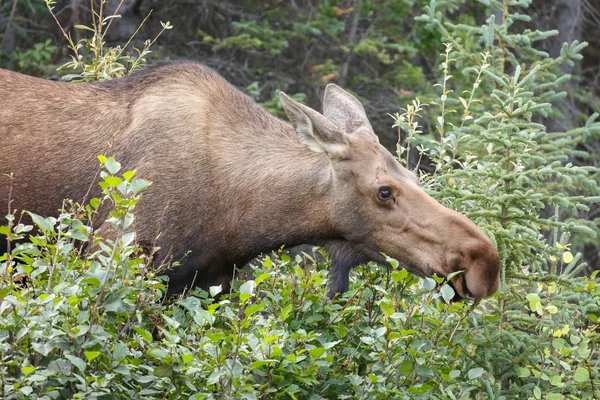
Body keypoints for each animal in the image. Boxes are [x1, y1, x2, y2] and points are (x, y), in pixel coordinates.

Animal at [0, 61, 500, 300]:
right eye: (384, 191)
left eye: (414, 175)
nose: (485, 262)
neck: (243, 217)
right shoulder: (114, 254)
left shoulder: (209, 283)